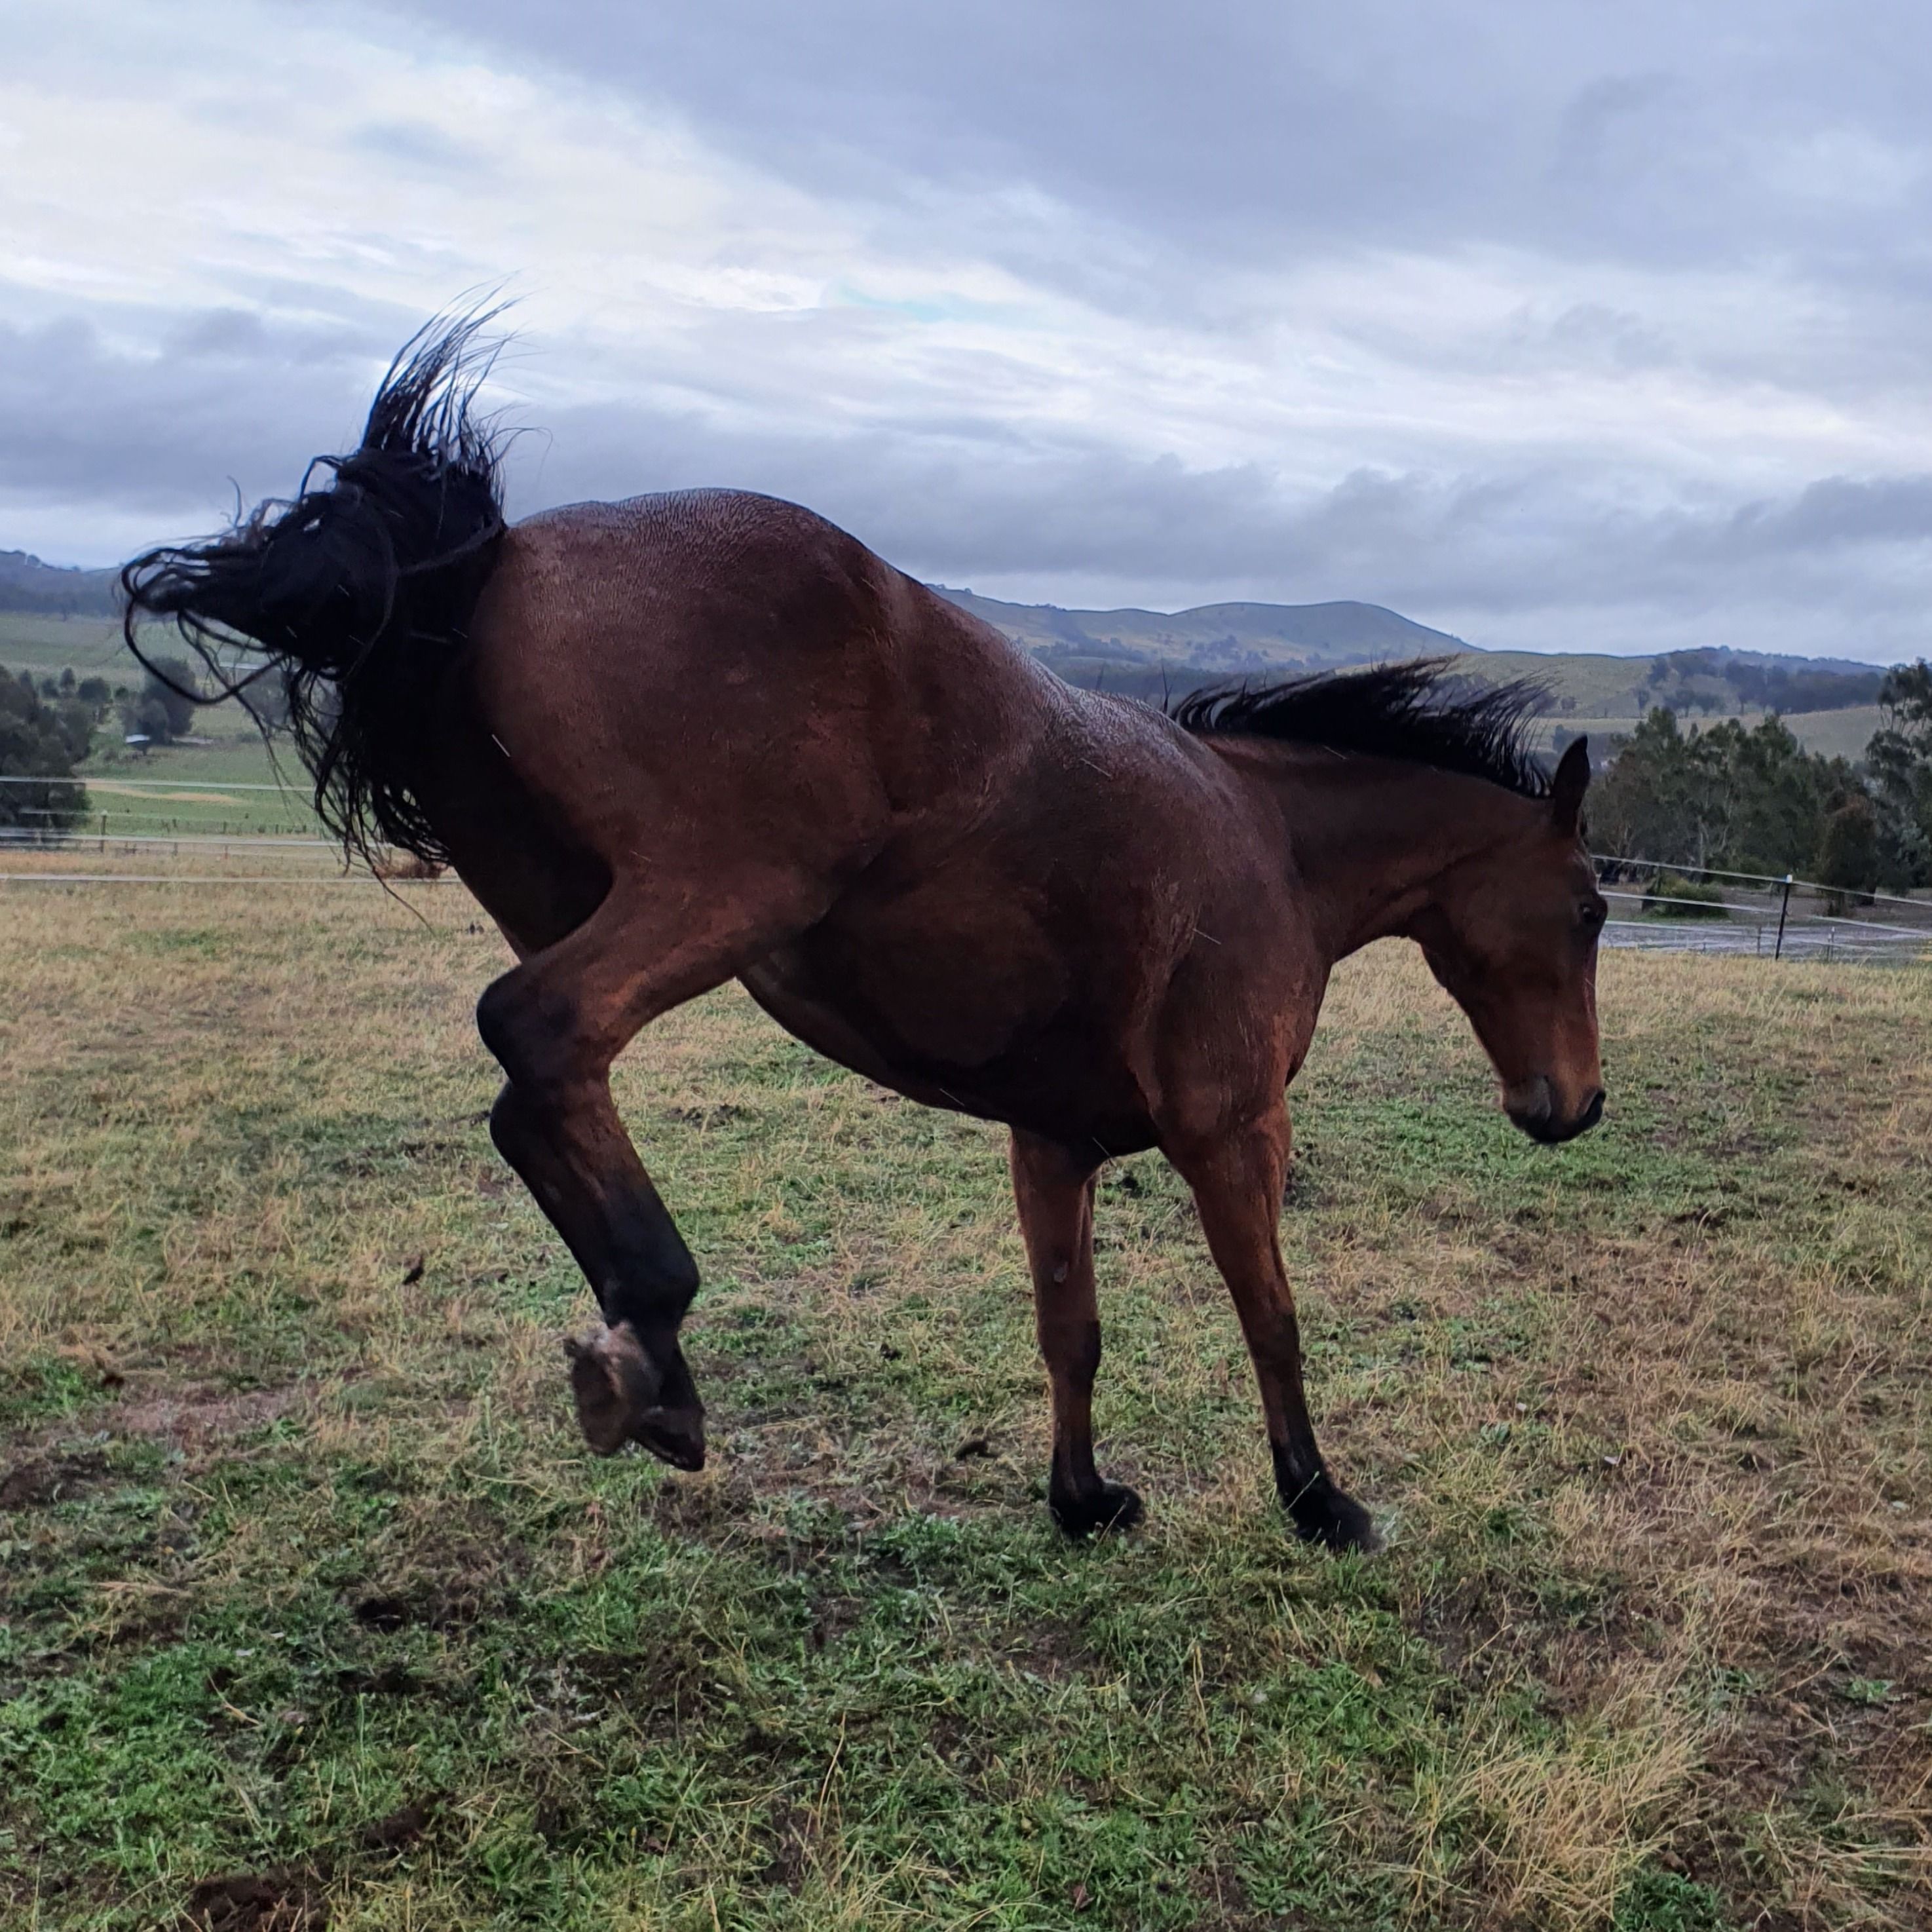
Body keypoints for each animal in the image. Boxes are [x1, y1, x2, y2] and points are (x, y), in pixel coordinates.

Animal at [124, 318, 1606, 1555]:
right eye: (1591, 908)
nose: (1573, 1106)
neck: (1268, 841)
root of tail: (496, 557)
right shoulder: (1232, 1129)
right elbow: (1273, 1318)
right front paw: (1318, 1501)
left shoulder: (1051, 1142)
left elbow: (1070, 1330)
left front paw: (1082, 1498)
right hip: (725, 891)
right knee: (536, 1029)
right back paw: (651, 1337)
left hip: (575, 888)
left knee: (529, 1083)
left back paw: (647, 1359)